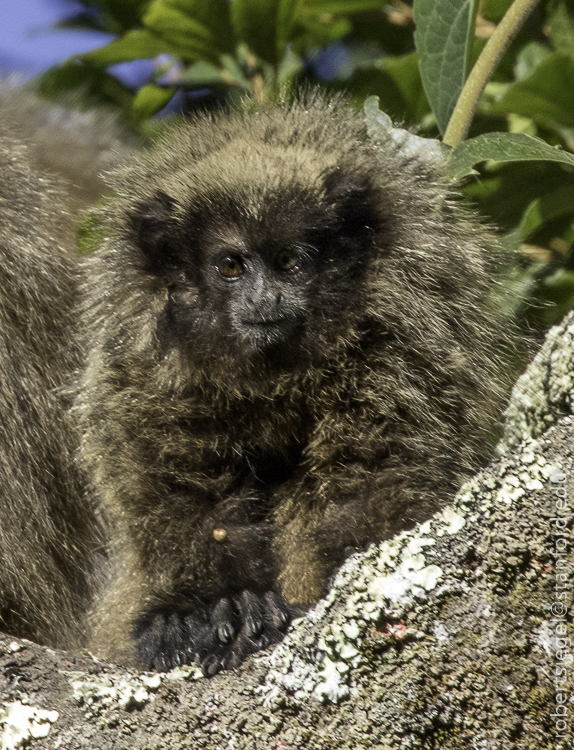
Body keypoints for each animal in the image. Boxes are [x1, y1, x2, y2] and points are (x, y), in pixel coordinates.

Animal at [73, 90, 520, 676]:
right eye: (231, 266)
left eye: (290, 262)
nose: (266, 299)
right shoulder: (146, 351)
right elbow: (175, 489)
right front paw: (208, 608)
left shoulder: (399, 322)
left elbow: (377, 470)